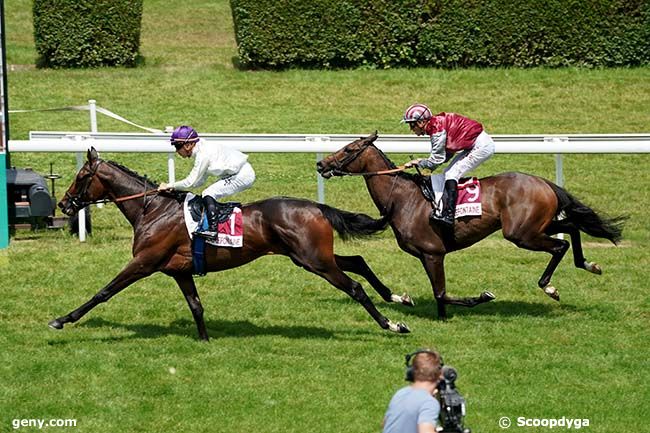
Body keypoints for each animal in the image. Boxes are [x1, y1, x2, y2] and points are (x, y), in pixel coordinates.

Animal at [52, 148, 416, 340]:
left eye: (82, 177)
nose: (64, 204)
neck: (152, 210)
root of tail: (317, 206)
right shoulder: (179, 271)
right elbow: (196, 305)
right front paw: (204, 339)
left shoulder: (144, 262)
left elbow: (104, 292)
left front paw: (62, 319)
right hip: (310, 256)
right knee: (357, 260)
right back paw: (398, 298)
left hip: (314, 260)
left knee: (354, 287)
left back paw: (392, 324)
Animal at [316, 132, 624, 318]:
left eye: (349, 148)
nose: (321, 164)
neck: (404, 198)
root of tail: (544, 182)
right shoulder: (425, 256)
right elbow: (439, 294)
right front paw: (441, 317)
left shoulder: (433, 253)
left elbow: (441, 292)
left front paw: (481, 298)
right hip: (535, 226)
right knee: (571, 227)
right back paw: (589, 264)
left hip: (521, 234)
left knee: (560, 244)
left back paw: (550, 287)